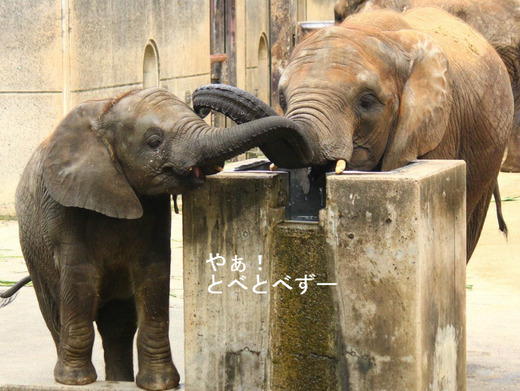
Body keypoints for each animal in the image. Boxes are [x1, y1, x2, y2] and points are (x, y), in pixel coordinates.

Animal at [11, 87, 308, 390]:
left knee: (118, 326)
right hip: (35, 254)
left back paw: (119, 380)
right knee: (57, 314)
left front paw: (159, 384)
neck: (105, 109)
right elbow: (79, 277)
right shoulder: (64, 205)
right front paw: (75, 381)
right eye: (154, 141)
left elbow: (153, 274)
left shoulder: (154, 210)